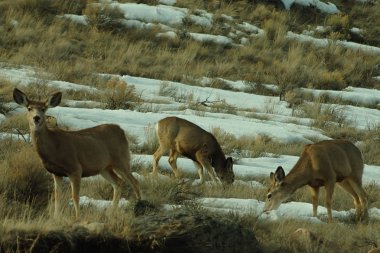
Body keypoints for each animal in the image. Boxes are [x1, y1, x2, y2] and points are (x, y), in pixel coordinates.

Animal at [13, 88, 142, 218]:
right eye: (29, 108)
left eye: (44, 109)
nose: (36, 118)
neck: (53, 147)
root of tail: (121, 130)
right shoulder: (56, 173)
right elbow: (57, 196)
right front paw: (56, 217)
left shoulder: (75, 168)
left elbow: (75, 196)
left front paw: (77, 217)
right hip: (104, 168)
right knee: (118, 183)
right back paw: (111, 212)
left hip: (121, 160)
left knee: (135, 182)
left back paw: (138, 207)